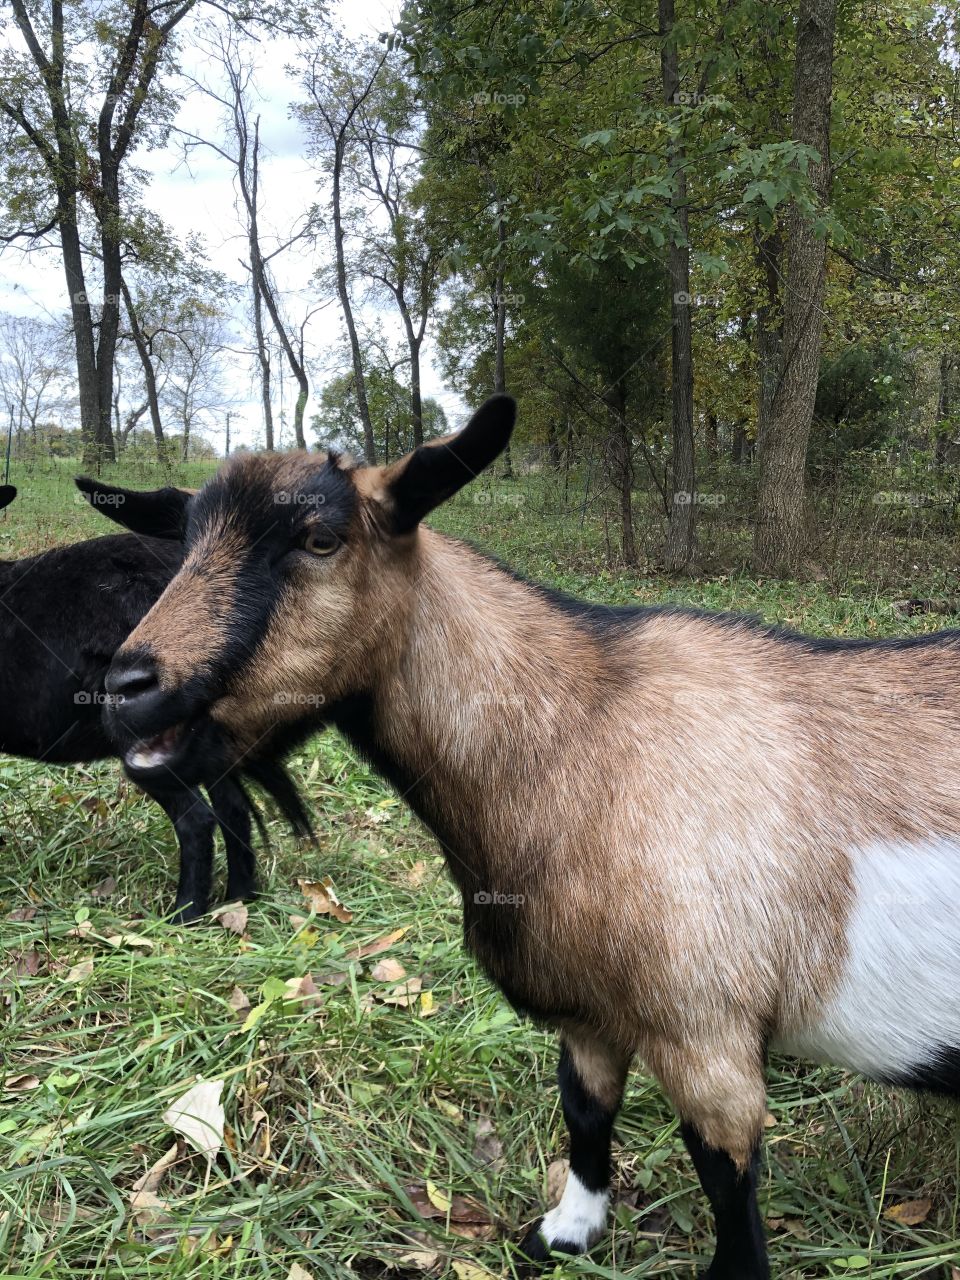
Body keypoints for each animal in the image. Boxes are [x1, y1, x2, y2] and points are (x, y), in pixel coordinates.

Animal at [79, 397, 960, 1280]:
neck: (581, 739)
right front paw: (568, 1231)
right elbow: (584, 1109)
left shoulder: (705, 1030)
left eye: (321, 540)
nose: (126, 689)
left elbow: (724, 1175)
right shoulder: (590, 1009)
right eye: (186, 541)